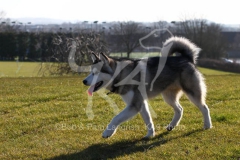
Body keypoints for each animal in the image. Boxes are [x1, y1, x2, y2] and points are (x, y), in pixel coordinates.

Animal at [82, 36, 212, 138]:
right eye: (90, 72)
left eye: (96, 73)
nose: (84, 81)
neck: (122, 74)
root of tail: (186, 58)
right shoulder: (141, 103)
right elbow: (148, 119)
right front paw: (150, 134)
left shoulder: (134, 105)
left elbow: (116, 118)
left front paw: (107, 132)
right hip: (168, 96)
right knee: (179, 109)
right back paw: (171, 126)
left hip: (192, 93)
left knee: (204, 107)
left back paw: (208, 125)